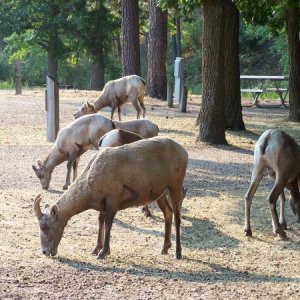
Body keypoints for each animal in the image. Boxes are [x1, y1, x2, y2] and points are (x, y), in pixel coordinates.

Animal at [32, 137, 188, 258]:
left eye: (45, 226)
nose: (45, 252)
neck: (91, 177)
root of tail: (184, 152)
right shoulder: (102, 204)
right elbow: (100, 222)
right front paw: (95, 249)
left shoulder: (113, 200)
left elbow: (108, 224)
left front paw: (103, 252)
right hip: (161, 192)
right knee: (168, 212)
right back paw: (164, 248)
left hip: (175, 185)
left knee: (177, 216)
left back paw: (178, 253)